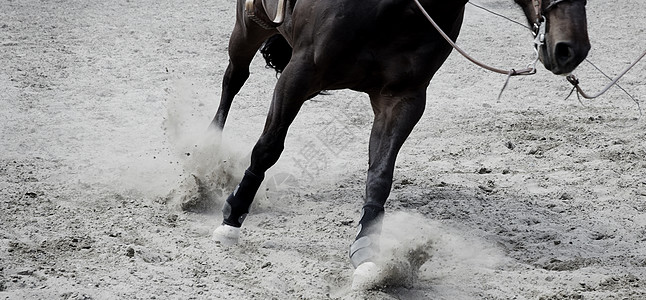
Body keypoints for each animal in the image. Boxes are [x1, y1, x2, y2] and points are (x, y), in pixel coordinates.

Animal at [210, 0, 588, 288]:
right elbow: (268, 147)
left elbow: (380, 174)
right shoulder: (300, 73)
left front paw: (367, 252)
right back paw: (210, 145)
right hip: (248, 25)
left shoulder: (403, 99)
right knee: (234, 78)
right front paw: (232, 219)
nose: (572, 48)